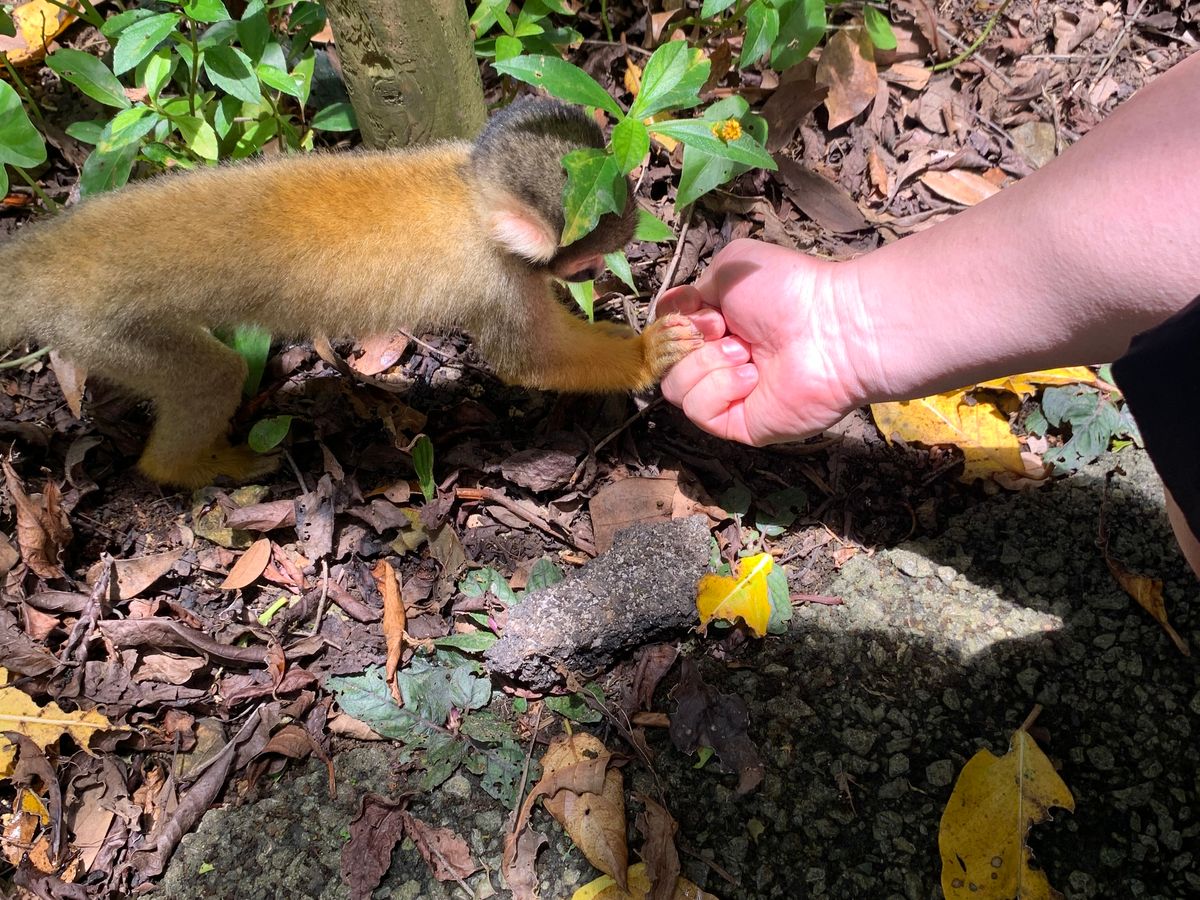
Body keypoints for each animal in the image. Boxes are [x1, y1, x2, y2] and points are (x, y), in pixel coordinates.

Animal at [0, 99, 704, 488]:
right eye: (585, 260)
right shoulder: (496, 280)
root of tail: (40, 258)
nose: (592, 277)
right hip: (97, 325)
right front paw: (644, 354)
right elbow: (528, 359)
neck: (472, 197)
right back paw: (181, 469)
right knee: (209, 374)